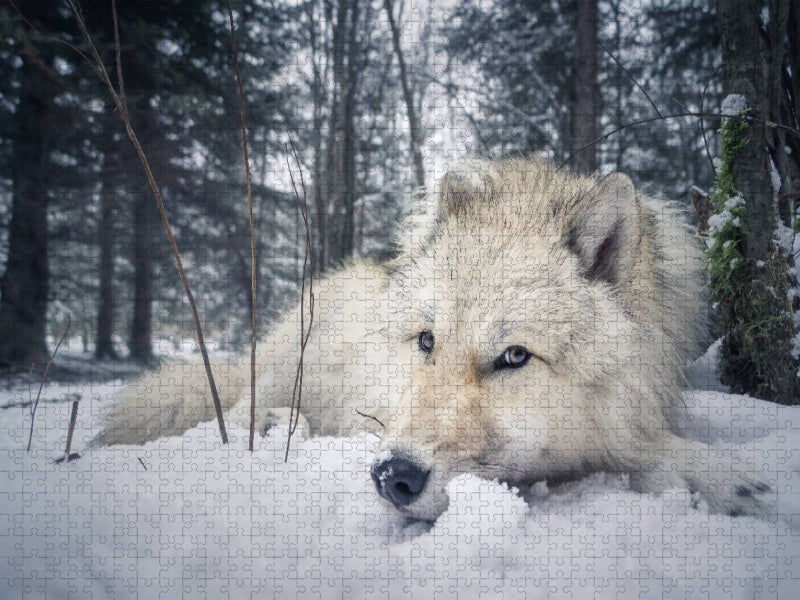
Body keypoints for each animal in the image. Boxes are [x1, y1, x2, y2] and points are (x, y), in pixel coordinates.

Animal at [94, 157, 769, 521]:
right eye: (426, 341)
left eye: (514, 356)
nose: (392, 476)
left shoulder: (617, 430)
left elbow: (642, 450)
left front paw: (727, 482)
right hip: (287, 368)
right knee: (239, 409)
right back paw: (277, 423)